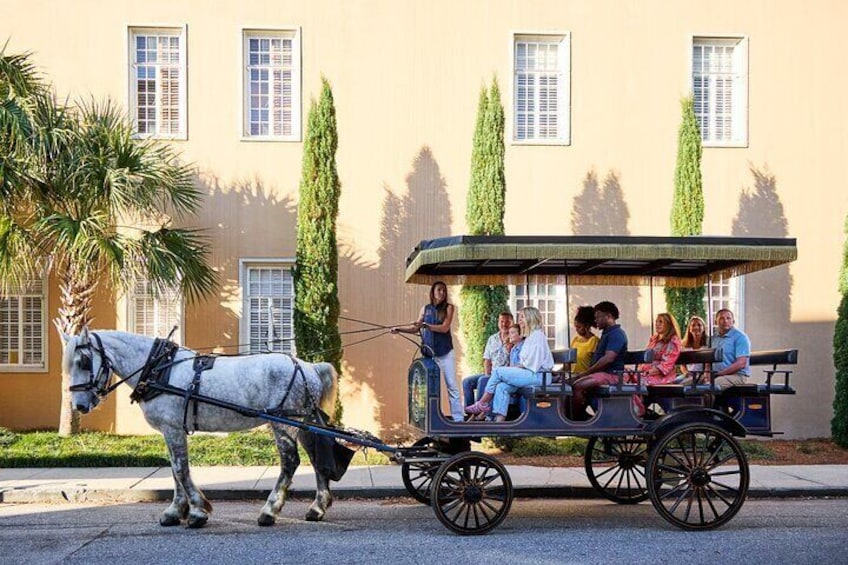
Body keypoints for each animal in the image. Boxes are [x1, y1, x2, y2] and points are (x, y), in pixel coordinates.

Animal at [62, 328, 338, 528]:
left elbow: (181, 470)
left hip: (283, 423)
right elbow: (175, 470)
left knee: (290, 463)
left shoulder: (172, 428)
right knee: (318, 459)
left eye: (84, 361)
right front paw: (175, 511)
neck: (159, 370)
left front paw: (196, 512)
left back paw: (269, 511)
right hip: (305, 424)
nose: (79, 405)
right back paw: (317, 508)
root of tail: (309, 366)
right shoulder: (171, 429)